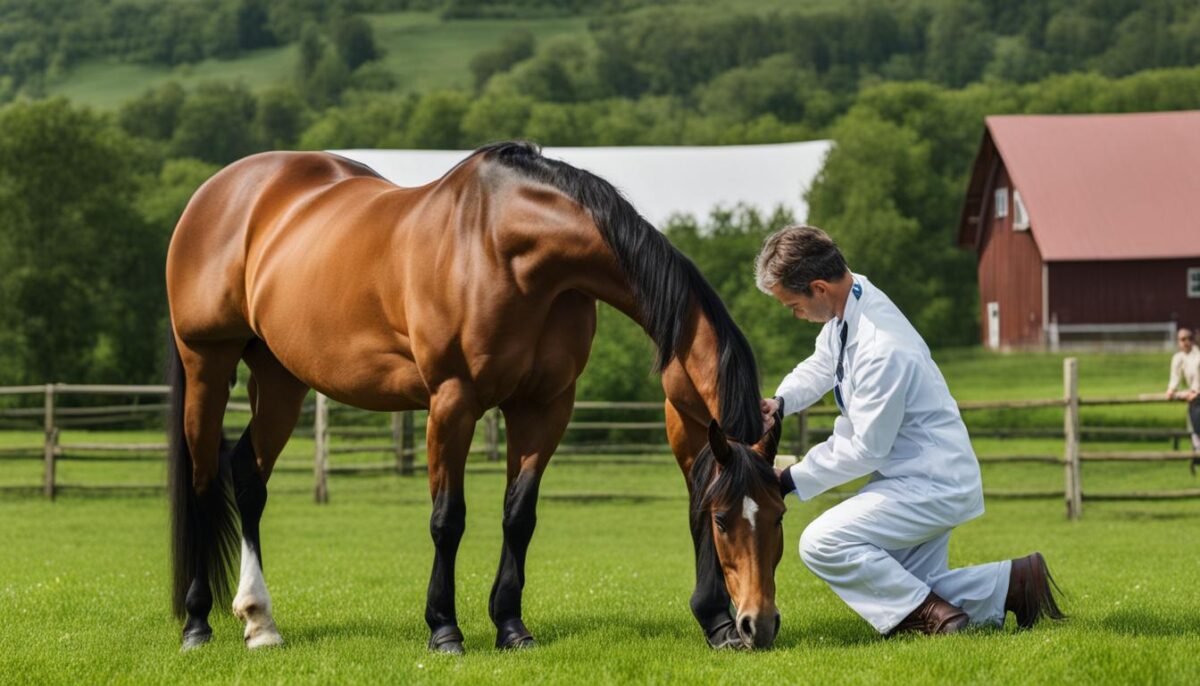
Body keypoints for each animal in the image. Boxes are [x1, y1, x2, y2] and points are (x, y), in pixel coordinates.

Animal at [166, 139, 787, 652]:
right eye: (723, 519)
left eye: (780, 512)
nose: (757, 625)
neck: (509, 248)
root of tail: (218, 193)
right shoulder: (452, 402)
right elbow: (448, 519)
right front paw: (445, 628)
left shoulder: (545, 407)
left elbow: (519, 516)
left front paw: (511, 626)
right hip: (207, 364)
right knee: (204, 478)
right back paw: (198, 623)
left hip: (280, 378)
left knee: (248, 477)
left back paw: (260, 622)